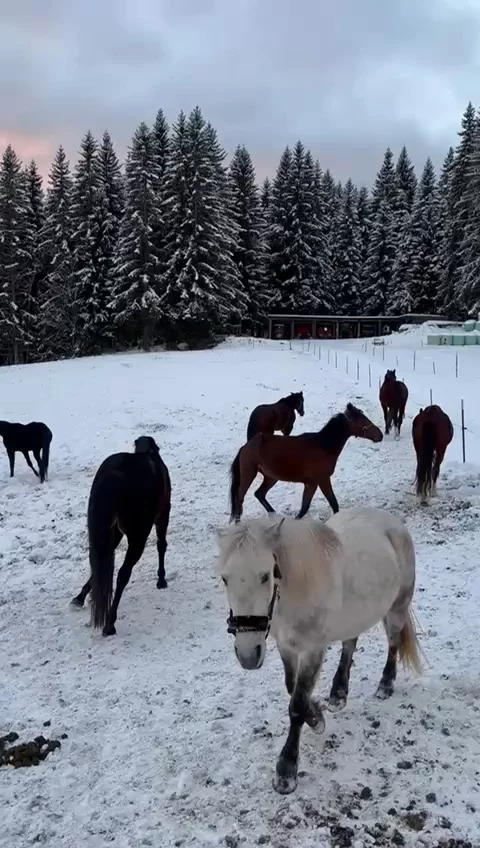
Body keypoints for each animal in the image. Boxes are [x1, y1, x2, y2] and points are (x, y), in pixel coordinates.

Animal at [71, 436, 171, 636]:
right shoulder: (163, 515)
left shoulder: (113, 533)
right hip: (139, 536)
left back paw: (81, 599)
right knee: (123, 574)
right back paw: (110, 622)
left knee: (100, 564)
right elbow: (161, 545)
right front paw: (161, 580)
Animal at [216, 507, 422, 795]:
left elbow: (297, 704)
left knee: (392, 644)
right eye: (225, 579)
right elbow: (292, 688)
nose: (248, 654)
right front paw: (316, 717)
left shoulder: (312, 650)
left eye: (266, 575)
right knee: (349, 645)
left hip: (398, 607)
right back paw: (338, 694)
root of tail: (392, 522)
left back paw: (385, 685)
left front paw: (286, 770)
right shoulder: (287, 647)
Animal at [230, 403, 383, 522]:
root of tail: (246, 446)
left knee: (259, 494)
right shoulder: (321, 480)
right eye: (363, 420)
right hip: (249, 474)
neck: (323, 446)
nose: (380, 435)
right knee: (240, 499)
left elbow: (306, 507)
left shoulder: (312, 483)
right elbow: (329, 504)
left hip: (271, 477)